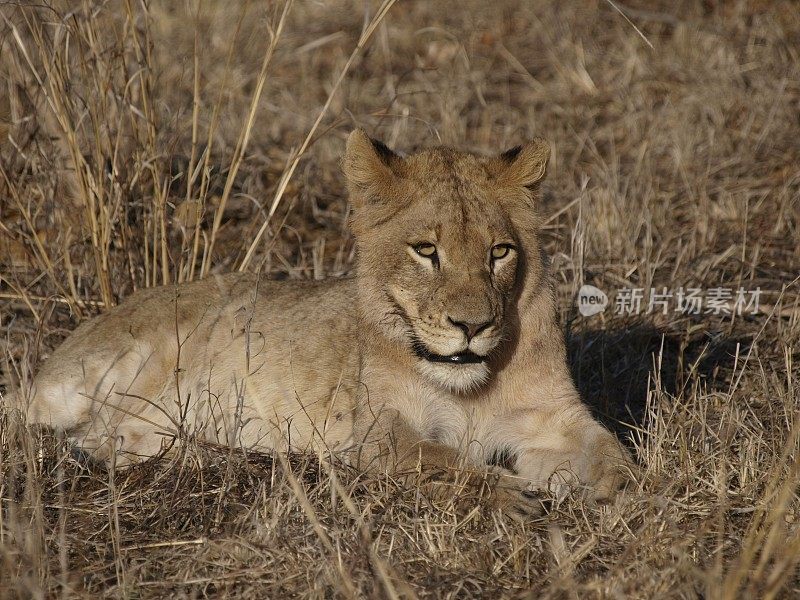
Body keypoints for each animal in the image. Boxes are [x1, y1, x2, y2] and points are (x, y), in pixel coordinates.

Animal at [7, 130, 632, 510]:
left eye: (500, 252)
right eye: (426, 250)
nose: (472, 327)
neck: (469, 388)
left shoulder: (553, 417)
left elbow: (611, 454)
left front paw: (626, 494)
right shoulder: (380, 432)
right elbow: (442, 459)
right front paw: (511, 494)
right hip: (104, 370)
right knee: (50, 425)